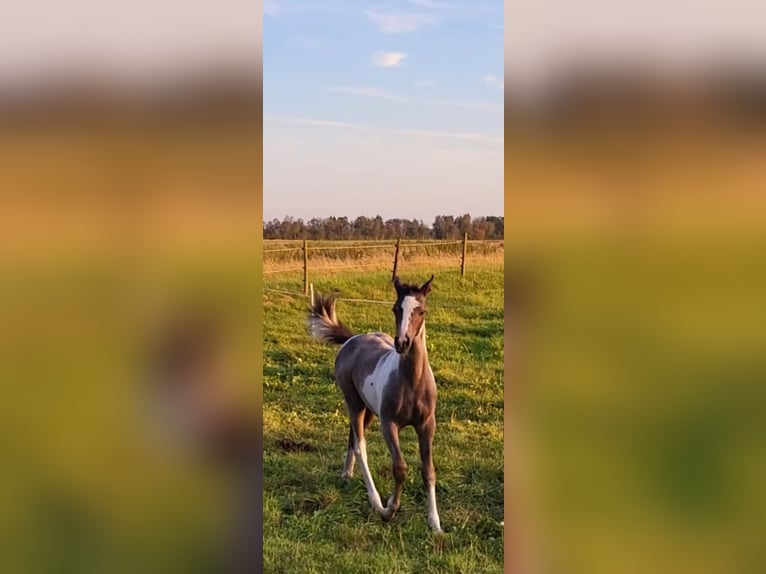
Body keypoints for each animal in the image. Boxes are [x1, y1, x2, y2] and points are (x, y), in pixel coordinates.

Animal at [308, 276, 444, 532]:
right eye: (396, 309)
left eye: (421, 310)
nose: (402, 343)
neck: (411, 381)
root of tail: (352, 339)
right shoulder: (389, 423)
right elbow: (400, 468)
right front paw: (389, 509)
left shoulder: (426, 424)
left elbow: (428, 470)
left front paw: (435, 524)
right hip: (354, 403)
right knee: (360, 446)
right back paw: (375, 501)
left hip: (368, 408)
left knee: (352, 437)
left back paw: (346, 475)